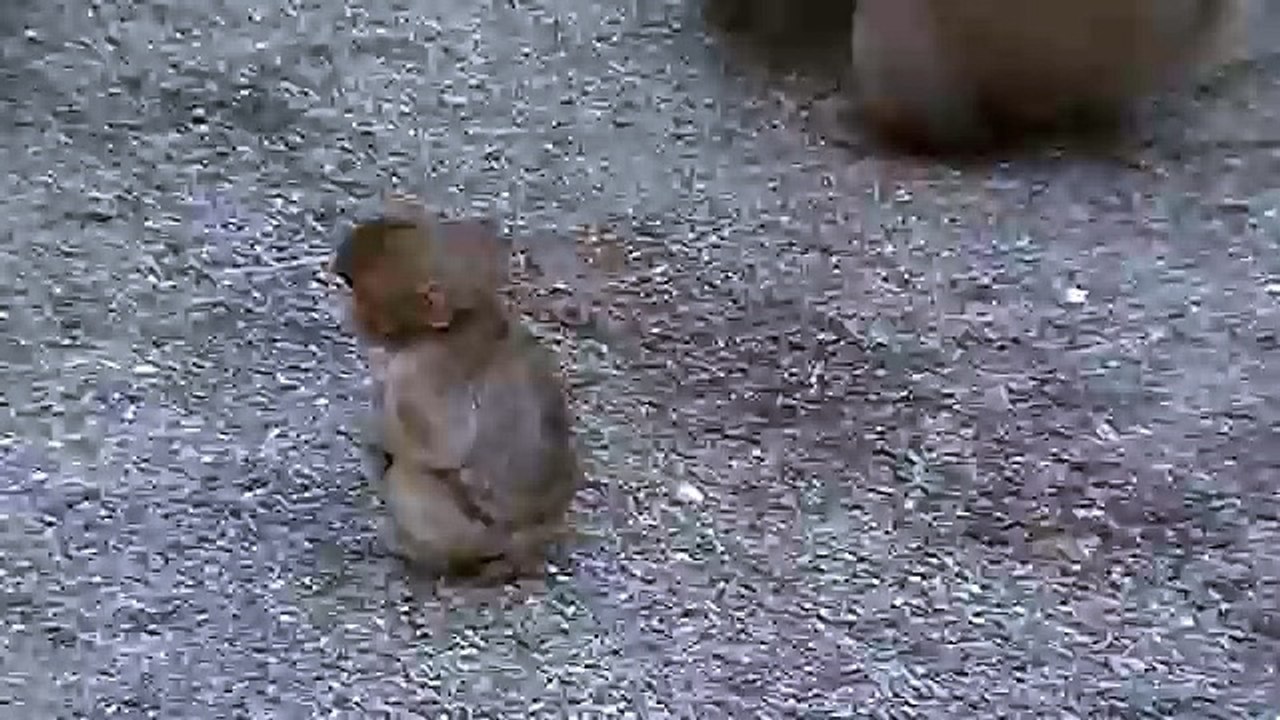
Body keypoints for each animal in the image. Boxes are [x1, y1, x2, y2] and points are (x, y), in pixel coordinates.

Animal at [331, 197, 583, 584]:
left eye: (360, 295)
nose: (347, 314)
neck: (458, 321)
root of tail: (530, 544)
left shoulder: (422, 367)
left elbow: (442, 446)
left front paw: (375, 434)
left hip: (471, 534)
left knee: (410, 475)